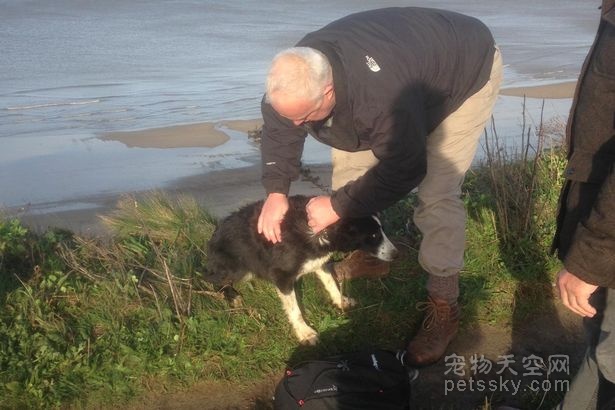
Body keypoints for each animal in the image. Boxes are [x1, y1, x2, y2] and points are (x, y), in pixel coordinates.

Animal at [207, 195, 400, 346]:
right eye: (373, 235)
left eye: (382, 231)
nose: (396, 254)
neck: (322, 231)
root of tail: (214, 235)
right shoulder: (282, 275)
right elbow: (295, 310)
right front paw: (305, 333)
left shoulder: (320, 262)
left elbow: (331, 284)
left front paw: (341, 301)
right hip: (236, 267)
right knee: (210, 279)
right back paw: (232, 296)